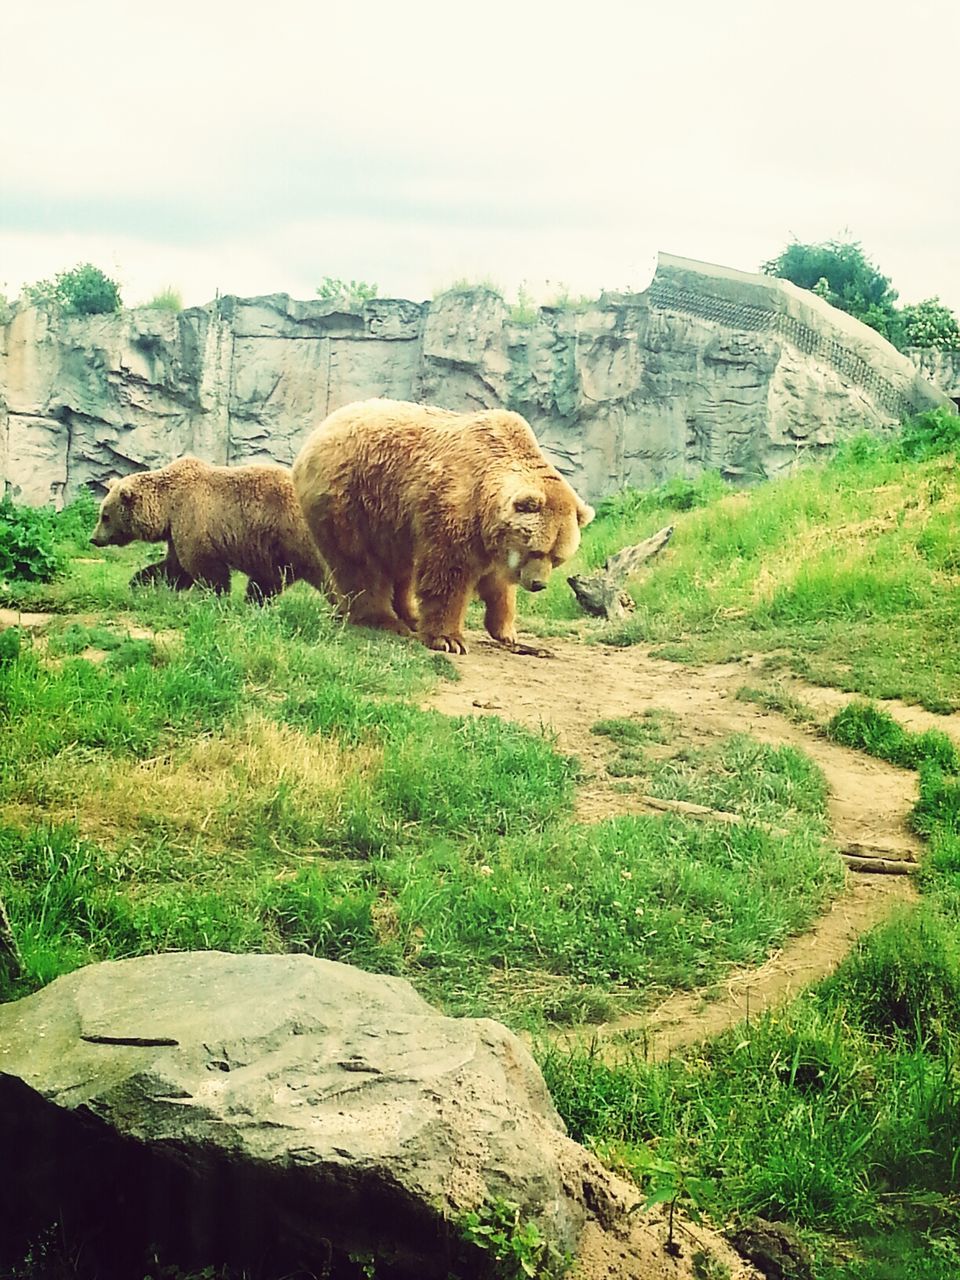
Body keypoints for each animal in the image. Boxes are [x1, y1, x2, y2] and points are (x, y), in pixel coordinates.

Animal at [90, 458, 330, 601]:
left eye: (105, 516)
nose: (94, 539)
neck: (167, 506)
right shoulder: (176, 530)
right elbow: (173, 568)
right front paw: (138, 582)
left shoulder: (194, 518)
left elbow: (205, 568)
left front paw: (214, 597)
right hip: (279, 551)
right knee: (267, 581)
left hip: (296, 535)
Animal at [291, 399, 593, 655]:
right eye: (536, 550)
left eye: (557, 557)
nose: (538, 584)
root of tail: (319, 430)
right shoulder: (455, 508)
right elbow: (448, 576)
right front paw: (449, 639)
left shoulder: (490, 539)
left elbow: (498, 585)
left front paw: (507, 631)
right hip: (351, 501)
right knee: (360, 564)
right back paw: (384, 620)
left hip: (391, 522)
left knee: (401, 569)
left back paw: (409, 615)